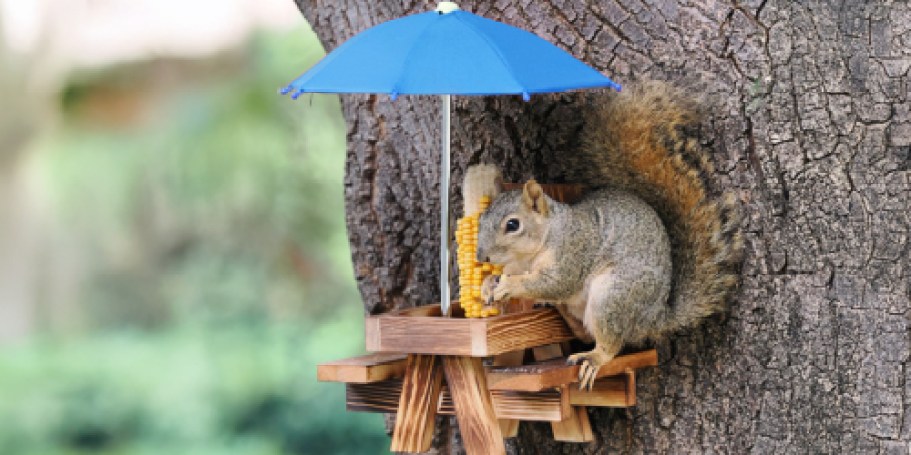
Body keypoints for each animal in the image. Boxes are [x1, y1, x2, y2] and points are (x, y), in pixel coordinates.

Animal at [474, 81, 744, 390]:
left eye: (512, 225)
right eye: (482, 219)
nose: (481, 256)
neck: (532, 251)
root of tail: (656, 317)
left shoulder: (573, 251)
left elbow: (555, 282)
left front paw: (510, 286)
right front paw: (488, 285)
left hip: (614, 295)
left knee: (610, 343)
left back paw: (594, 358)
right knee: (583, 332)